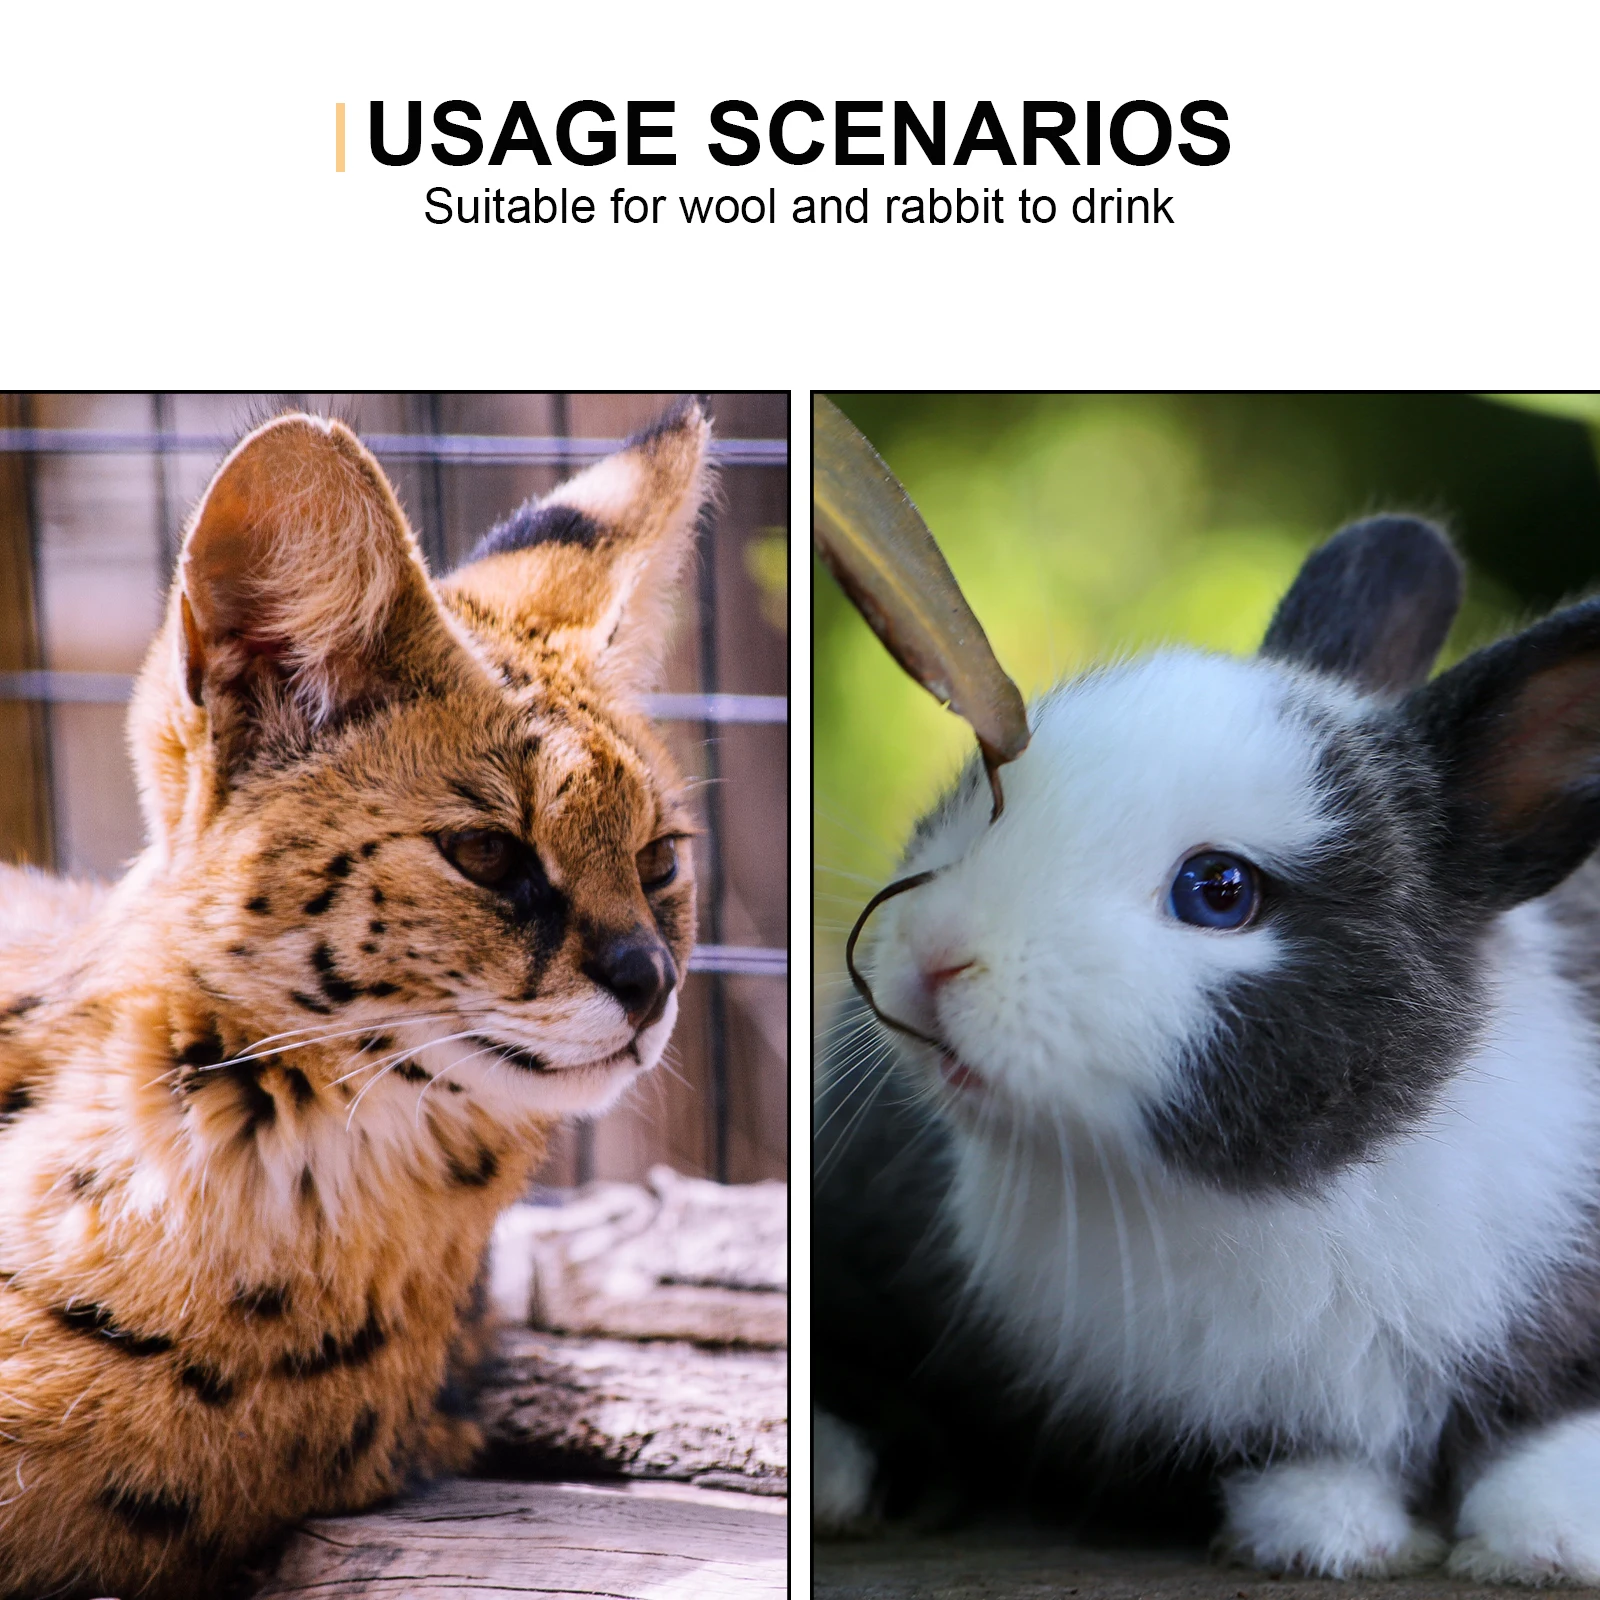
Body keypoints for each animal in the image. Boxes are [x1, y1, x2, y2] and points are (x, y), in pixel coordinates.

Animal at [815, 514, 1600, 1583]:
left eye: (1219, 891)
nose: (936, 953)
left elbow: (1553, 1429)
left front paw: (1546, 1542)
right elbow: (1284, 1457)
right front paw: (1334, 1534)